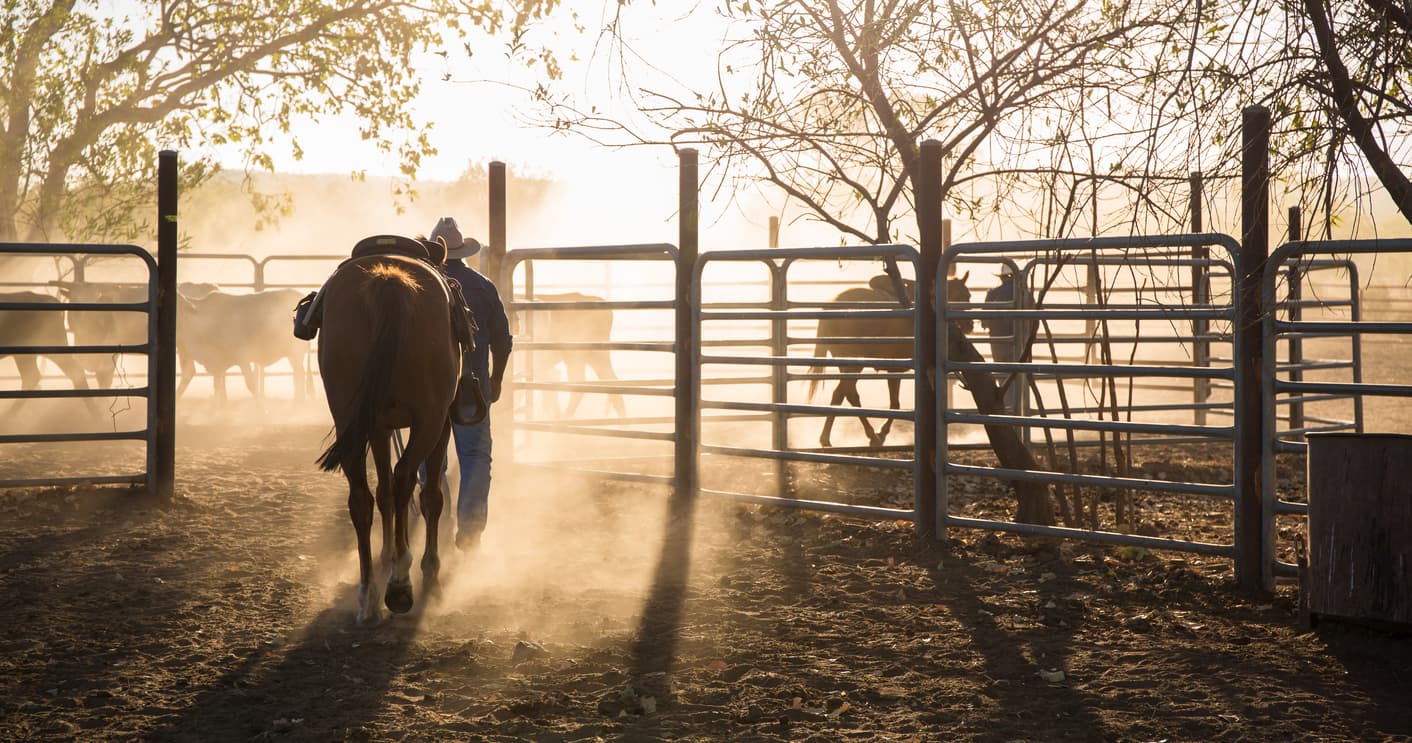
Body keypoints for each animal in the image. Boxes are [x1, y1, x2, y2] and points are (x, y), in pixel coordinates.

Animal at [315, 252, 461, 626]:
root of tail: (388, 280)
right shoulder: (442, 423)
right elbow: (430, 496)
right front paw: (429, 575)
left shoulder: (378, 428)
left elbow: (381, 493)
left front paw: (384, 559)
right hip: (430, 421)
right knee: (405, 479)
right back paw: (400, 584)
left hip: (350, 420)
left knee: (361, 498)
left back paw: (368, 594)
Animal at [807, 272, 972, 448]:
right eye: (962, 296)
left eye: (968, 295)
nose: (970, 325)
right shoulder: (897, 369)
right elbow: (895, 404)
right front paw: (883, 432)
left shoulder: (896, 369)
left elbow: (895, 404)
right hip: (853, 363)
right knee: (842, 393)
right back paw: (847, 437)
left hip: (847, 364)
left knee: (848, 394)